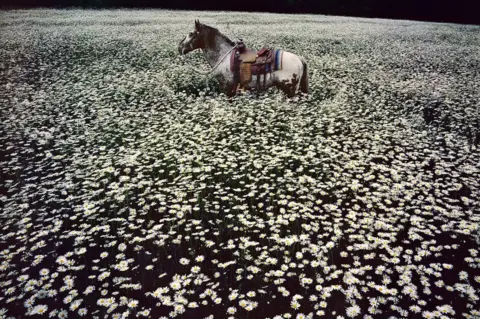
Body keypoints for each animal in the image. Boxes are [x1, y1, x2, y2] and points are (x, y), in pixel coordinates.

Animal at [177, 20, 308, 97]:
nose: (179, 47)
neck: (223, 56)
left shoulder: (227, 87)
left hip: (290, 90)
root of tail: (299, 58)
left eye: (191, 34)